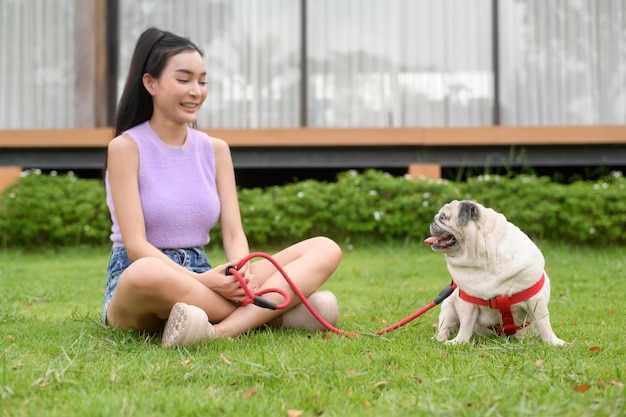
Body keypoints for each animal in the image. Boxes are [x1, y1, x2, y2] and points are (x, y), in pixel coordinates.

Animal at [422, 198, 564, 344]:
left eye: (443, 217)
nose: (433, 221)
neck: (486, 258)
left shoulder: (535, 300)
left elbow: (544, 324)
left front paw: (553, 342)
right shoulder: (469, 305)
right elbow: (466, 326)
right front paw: (459, 342)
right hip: (448, 308)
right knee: (446, 327)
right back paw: (439, 337)